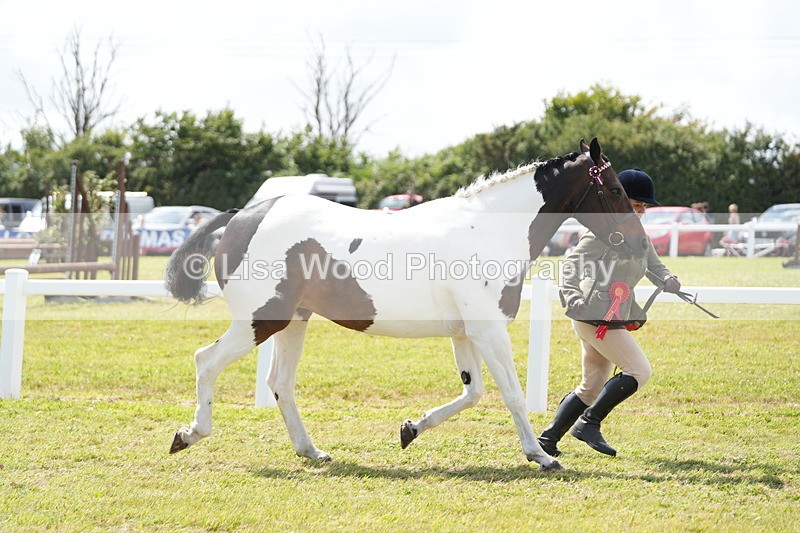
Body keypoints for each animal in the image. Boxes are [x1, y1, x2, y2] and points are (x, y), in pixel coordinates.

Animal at [164, 138, 648, 471]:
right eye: (614, 190)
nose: (641, 244)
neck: (488, 230)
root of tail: (243, 217)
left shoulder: (465, 334)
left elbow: (472, 392)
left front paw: (410, 429)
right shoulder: (489, 330)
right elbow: (511, 394)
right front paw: (541, 457)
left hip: (294, 322)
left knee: (280, 383)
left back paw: (312, 451)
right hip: (260, 320)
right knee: (206, 360)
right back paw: (188, 435)